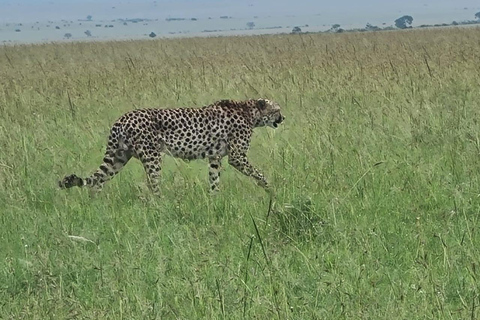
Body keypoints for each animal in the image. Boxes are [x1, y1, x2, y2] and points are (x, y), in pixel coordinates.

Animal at [59, 99, 284, 194]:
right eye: (278, 109)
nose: (283, 118)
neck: (250, 111)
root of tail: (122, 118)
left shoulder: (215, 157)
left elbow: (214, 180)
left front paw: (214, 198)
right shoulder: (237, 157)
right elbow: (257, 173)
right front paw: (270, 189)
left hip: (119, 157)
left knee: (97, 180)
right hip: (152, 157)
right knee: (152, 186)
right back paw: (160, 205)